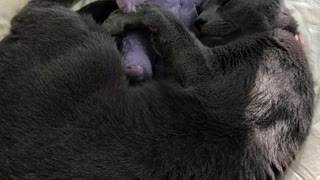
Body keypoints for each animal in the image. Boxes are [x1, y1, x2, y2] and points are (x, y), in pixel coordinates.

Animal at [0, 0, 316, 179]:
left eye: (226, 1)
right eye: (201, 6)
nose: (199, 18)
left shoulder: (214, 71)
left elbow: (172, 25)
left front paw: (134, 14)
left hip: (84, 41)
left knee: (41, 7)